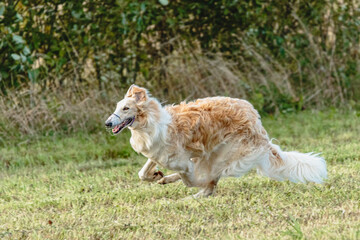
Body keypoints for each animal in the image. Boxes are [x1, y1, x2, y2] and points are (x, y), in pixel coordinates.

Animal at [104, 84, 326, 197]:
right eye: (116, 107)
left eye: (126, 108)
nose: (107, 123)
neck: (151, 123)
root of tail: (258, 125)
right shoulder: (157, 154)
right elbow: (143, 173)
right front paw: (157, 175)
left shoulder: (183, 162)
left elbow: (190, 179)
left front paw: (174, 180)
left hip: (223, 153)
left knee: (211, 179)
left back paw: (198, 193)